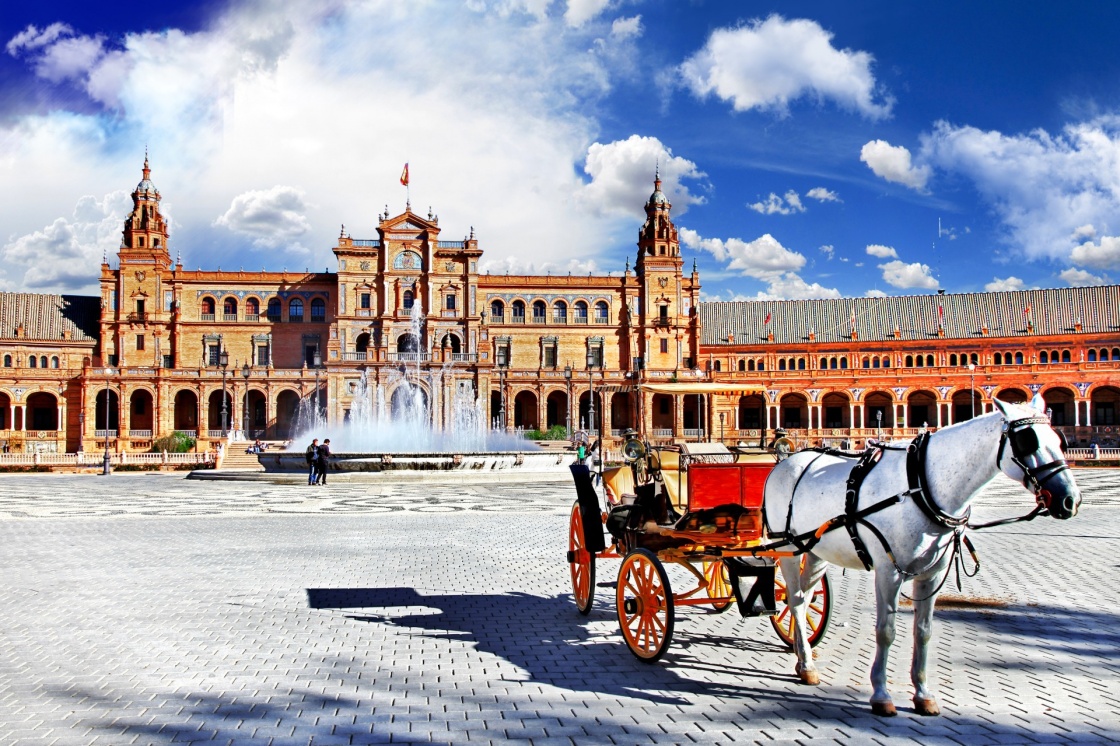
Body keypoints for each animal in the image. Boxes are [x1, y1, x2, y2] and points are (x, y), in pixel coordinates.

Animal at [766, 394, 1079, 716]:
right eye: (1027, 441)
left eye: (1059, 440)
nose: (1069, 499)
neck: (921, 486)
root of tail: (787, 462)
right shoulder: (888, 571)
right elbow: (886, 630)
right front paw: (881, 695)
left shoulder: (933, 573)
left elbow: (924, 631)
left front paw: (923, 694)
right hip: (786, 547)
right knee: (795, 599)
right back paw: (806, 662)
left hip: (816, 550)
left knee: (802, 597)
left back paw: (803, 658)